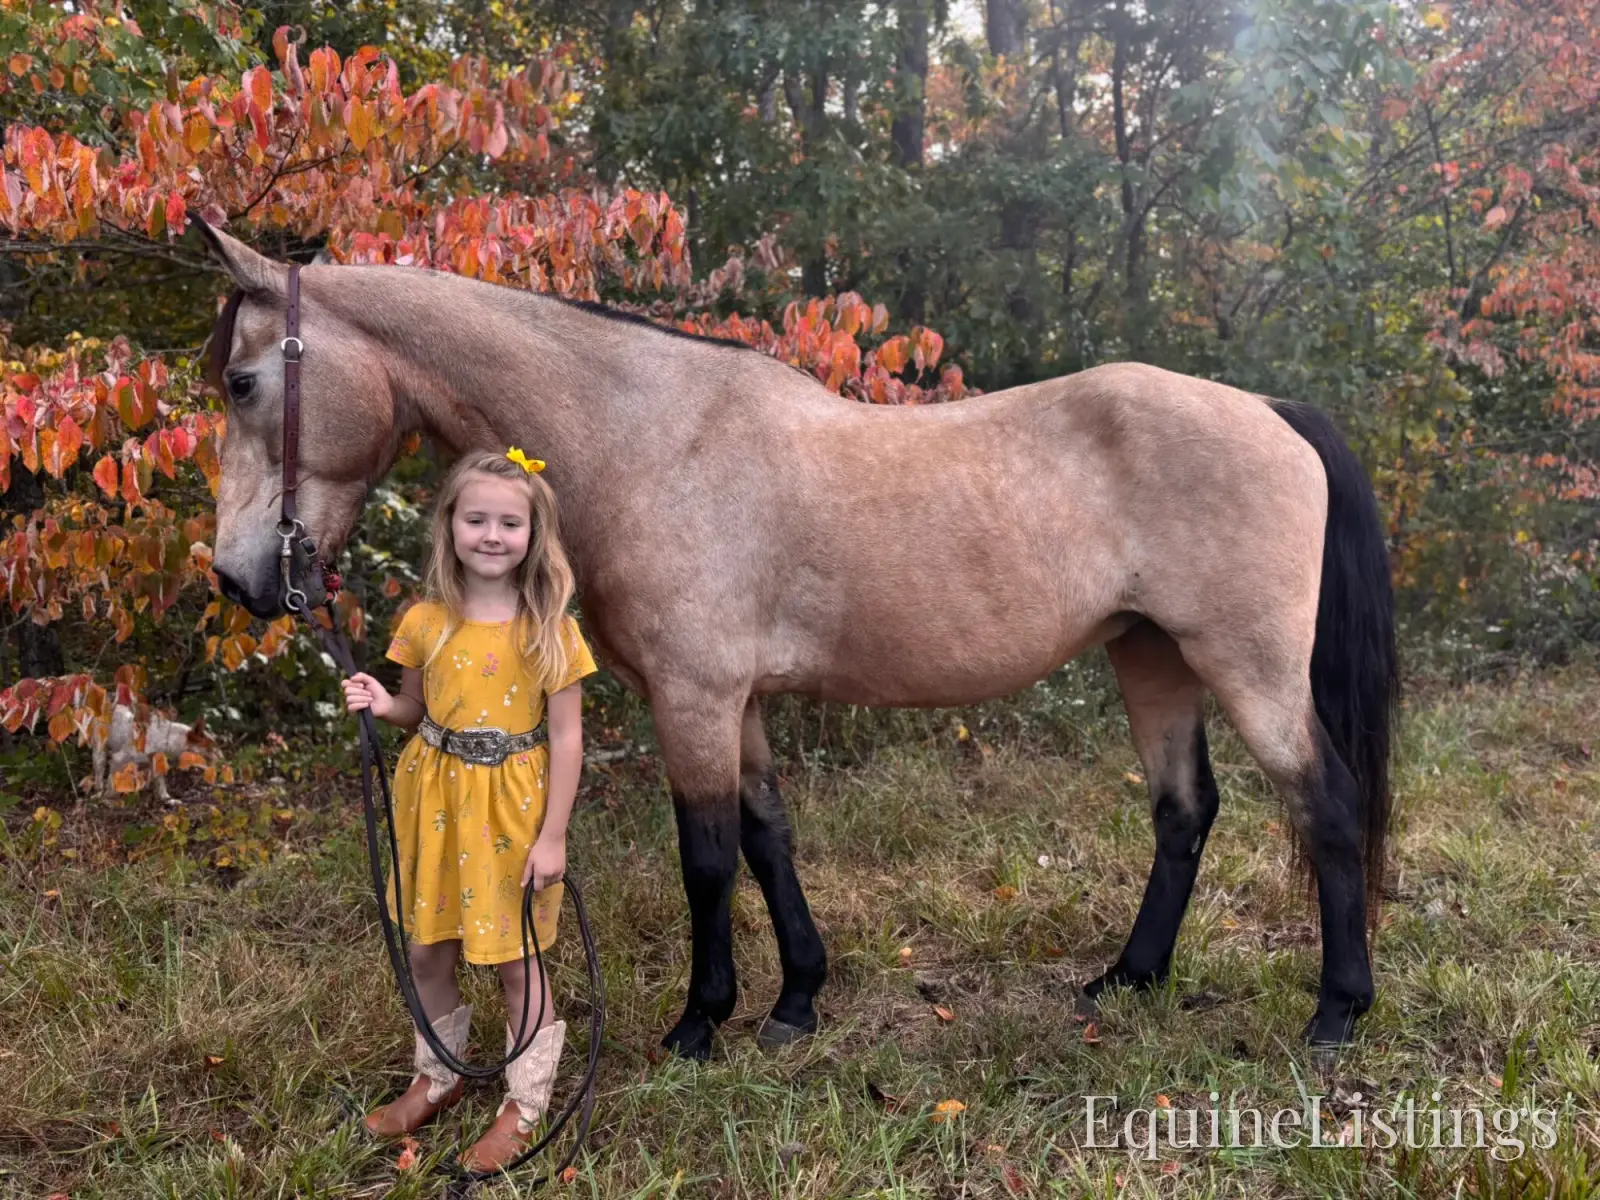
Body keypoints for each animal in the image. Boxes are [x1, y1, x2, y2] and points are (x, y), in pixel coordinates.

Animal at [192, 217, 1397, 1060]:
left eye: (245, 381)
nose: (243, 578)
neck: (650, 440)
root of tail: (1271, 410)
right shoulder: (736, 703)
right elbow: (770, 839)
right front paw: (797, 1001)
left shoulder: (693, 697)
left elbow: (708, 856)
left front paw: (699, 1024)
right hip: (1149, 657)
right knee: (1184, 813)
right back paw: (1126, 981)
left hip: (1247, 670)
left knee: (1327, 805)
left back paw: (1335, 1016)